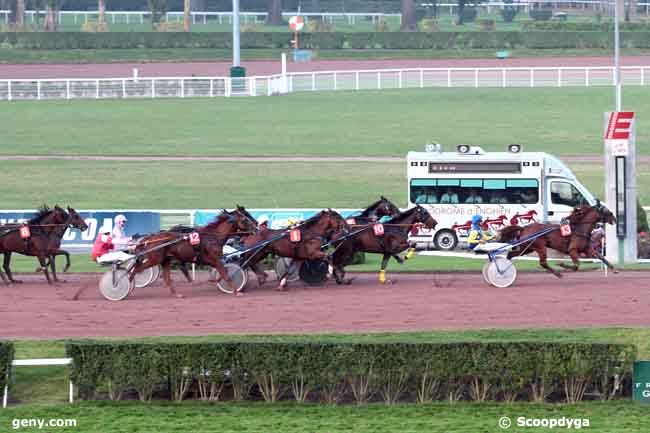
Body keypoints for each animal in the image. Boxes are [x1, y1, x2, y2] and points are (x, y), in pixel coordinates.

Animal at [128, 207, 256, 296]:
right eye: (245, 219)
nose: (256, 227)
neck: (213, 236)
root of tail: (151, 237)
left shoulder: (216, 261)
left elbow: (224, 274)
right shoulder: (216, 260)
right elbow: (227, 275)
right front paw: (236, 292)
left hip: (165, 260)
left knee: (167, 278)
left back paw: (177, 294)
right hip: (155, 259)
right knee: (137, 269)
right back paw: (128, 284)